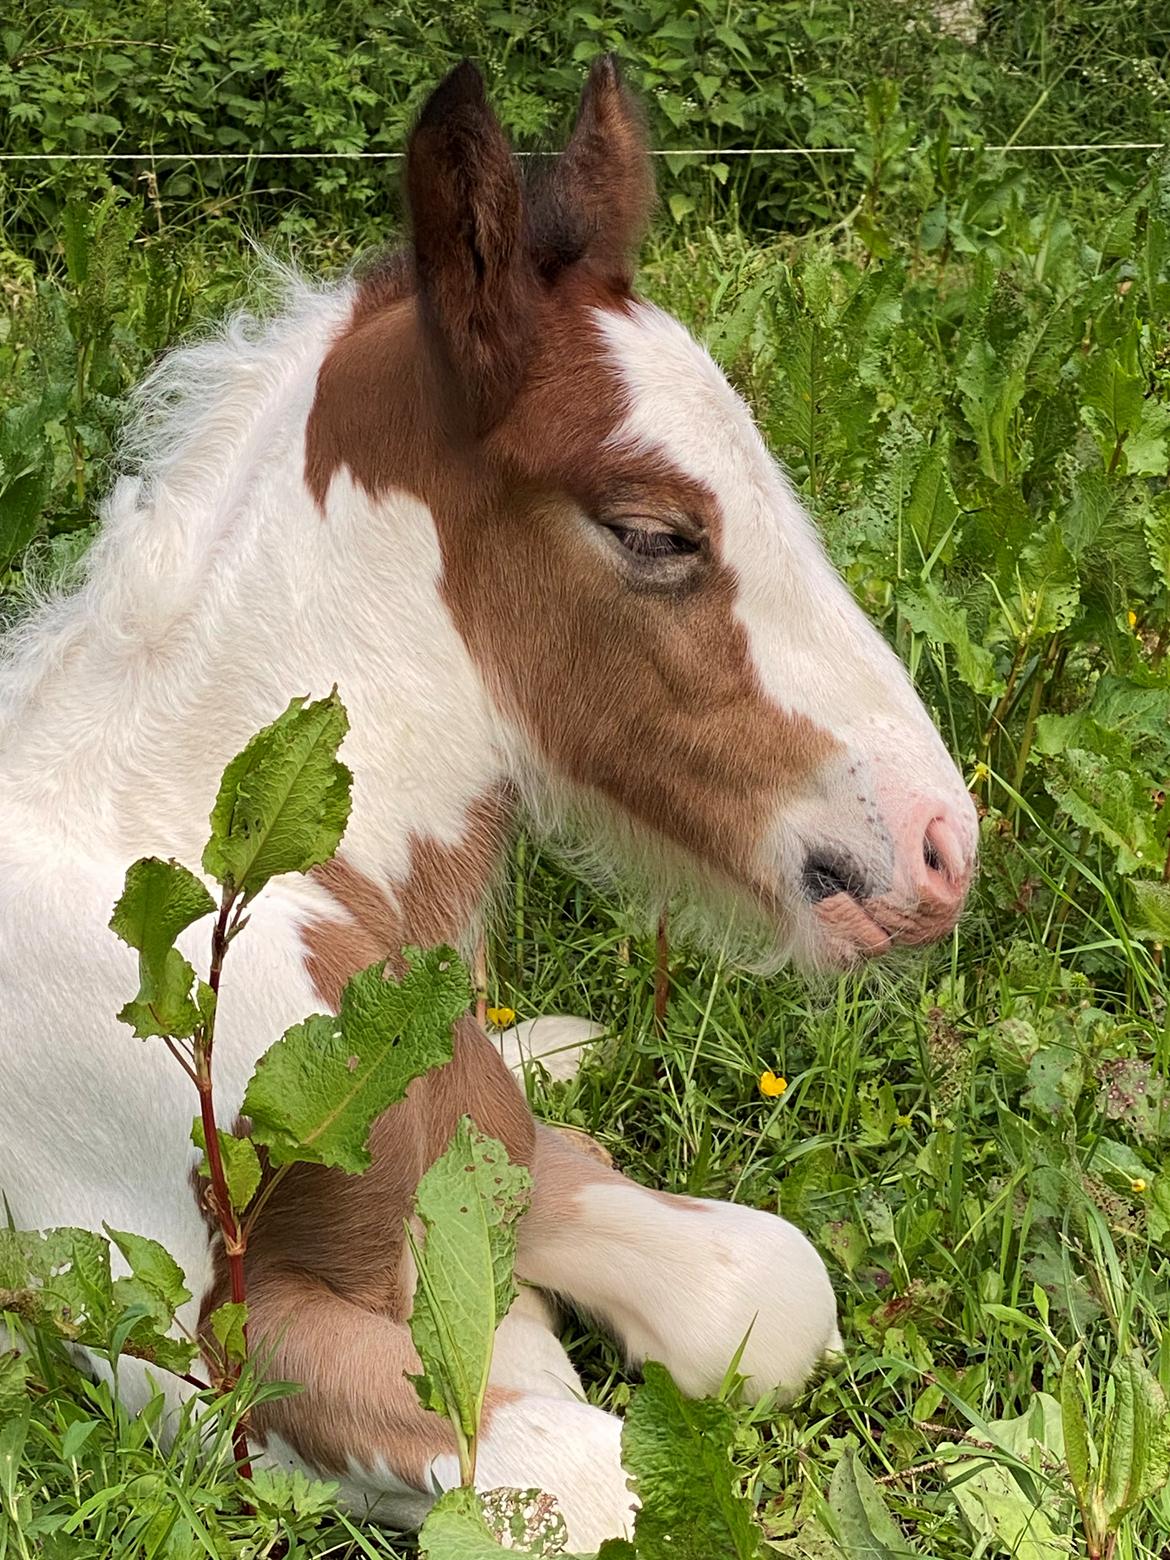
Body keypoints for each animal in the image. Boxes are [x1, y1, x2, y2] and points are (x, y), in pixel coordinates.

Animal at [0, 57, 979, 1547]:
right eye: (654, 533)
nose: (938, 847)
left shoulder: (491, 1167)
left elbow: (760, 1287)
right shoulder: (177, 1351)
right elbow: (582, 1473)